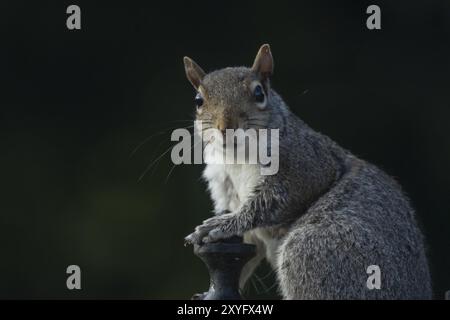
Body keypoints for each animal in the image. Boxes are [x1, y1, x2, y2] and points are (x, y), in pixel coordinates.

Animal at [183, 43, 432, 298]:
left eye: (259, 94)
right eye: (198, 100)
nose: (226, 127)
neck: (236, 157)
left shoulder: (306, 164)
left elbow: (272, 200)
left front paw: (219, 225)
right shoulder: (227, 190)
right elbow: (247, 248)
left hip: (314, 250)